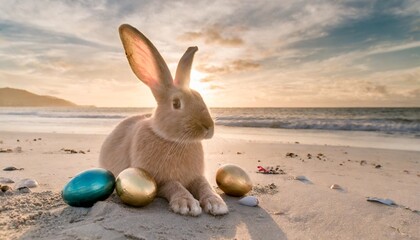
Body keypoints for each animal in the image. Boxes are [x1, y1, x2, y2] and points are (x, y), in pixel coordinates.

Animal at [98, 23, 228, 216]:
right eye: (176, 103)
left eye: (200, 96)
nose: (208, 126)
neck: (174, 140)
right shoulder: (159, 181)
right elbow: (173, 185)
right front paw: (187, 205)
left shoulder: (197, 177)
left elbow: (204, 185)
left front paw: (217, 204)